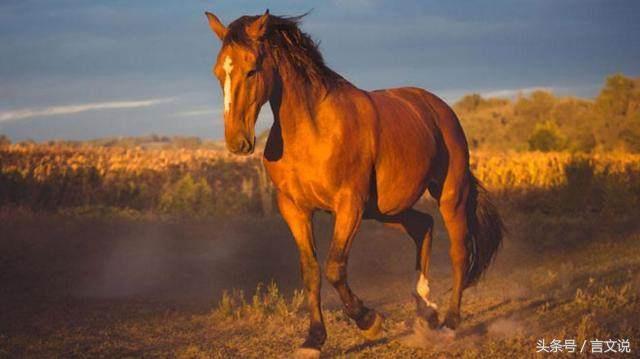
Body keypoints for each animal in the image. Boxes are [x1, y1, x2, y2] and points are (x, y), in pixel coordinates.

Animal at [208, 9, 502, 358]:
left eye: (251, 70)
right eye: (218, 72)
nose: (237, 141)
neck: (313, 129)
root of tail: (439, 109)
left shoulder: (349, 205)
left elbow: (335, 267)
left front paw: (369, 321)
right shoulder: (294, 208)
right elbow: (311, 271)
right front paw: (313, 340)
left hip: (449, 195)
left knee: (459, 251)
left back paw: (449, 322)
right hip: (386, 210)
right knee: (423, 226)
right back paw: (425, 308)